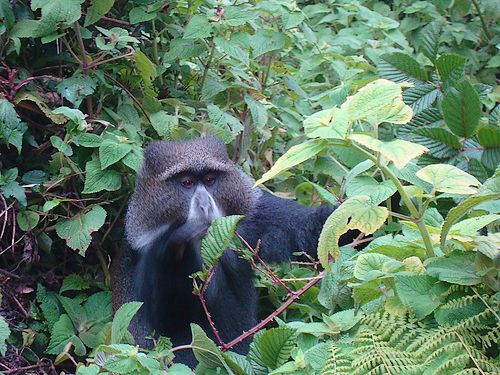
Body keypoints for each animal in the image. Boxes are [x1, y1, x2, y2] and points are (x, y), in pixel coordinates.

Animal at [111, 136, 358, 368]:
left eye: (210, 180)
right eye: (187, 182)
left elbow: (312, 230)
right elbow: (167, 320)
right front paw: (177, 244)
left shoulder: (253, 213)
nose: (204, 205)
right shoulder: (144, 253)